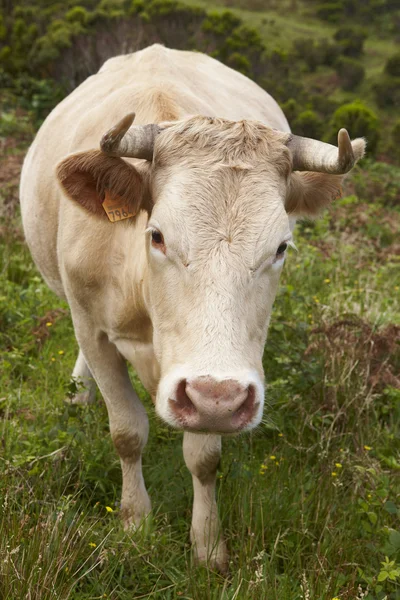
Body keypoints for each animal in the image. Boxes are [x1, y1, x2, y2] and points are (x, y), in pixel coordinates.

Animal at [21, 43, 366, 572]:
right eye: (158, 235)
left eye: (281, 247)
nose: (215, 398)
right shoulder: (93, 329)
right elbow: (127, 432)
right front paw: (135, 522)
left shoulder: (218, 385)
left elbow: (204, 458)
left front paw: (207, 544)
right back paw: (79, 393)